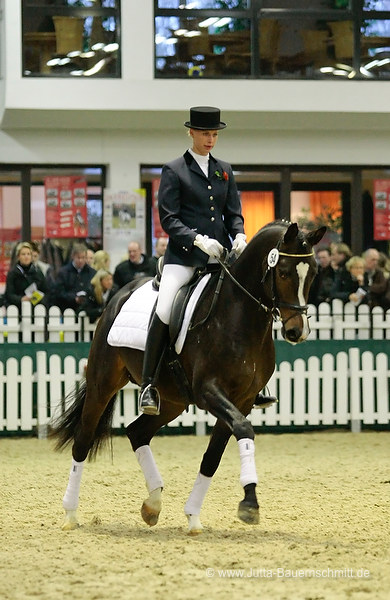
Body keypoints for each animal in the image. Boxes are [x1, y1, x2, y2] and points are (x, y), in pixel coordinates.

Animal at [51, 220, 326, 536]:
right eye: (282, 272)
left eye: (313, 273)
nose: (297, 331)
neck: (238, 316)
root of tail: (120, 294)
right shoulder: (209, 392)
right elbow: (244, 430)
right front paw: (249, 504)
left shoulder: (242, 400)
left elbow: (213, 457)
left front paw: (194, 516)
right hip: (103, 382)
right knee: (83, 440)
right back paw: (70, 513)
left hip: (171, 401)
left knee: (137, 432)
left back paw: (153, 504)